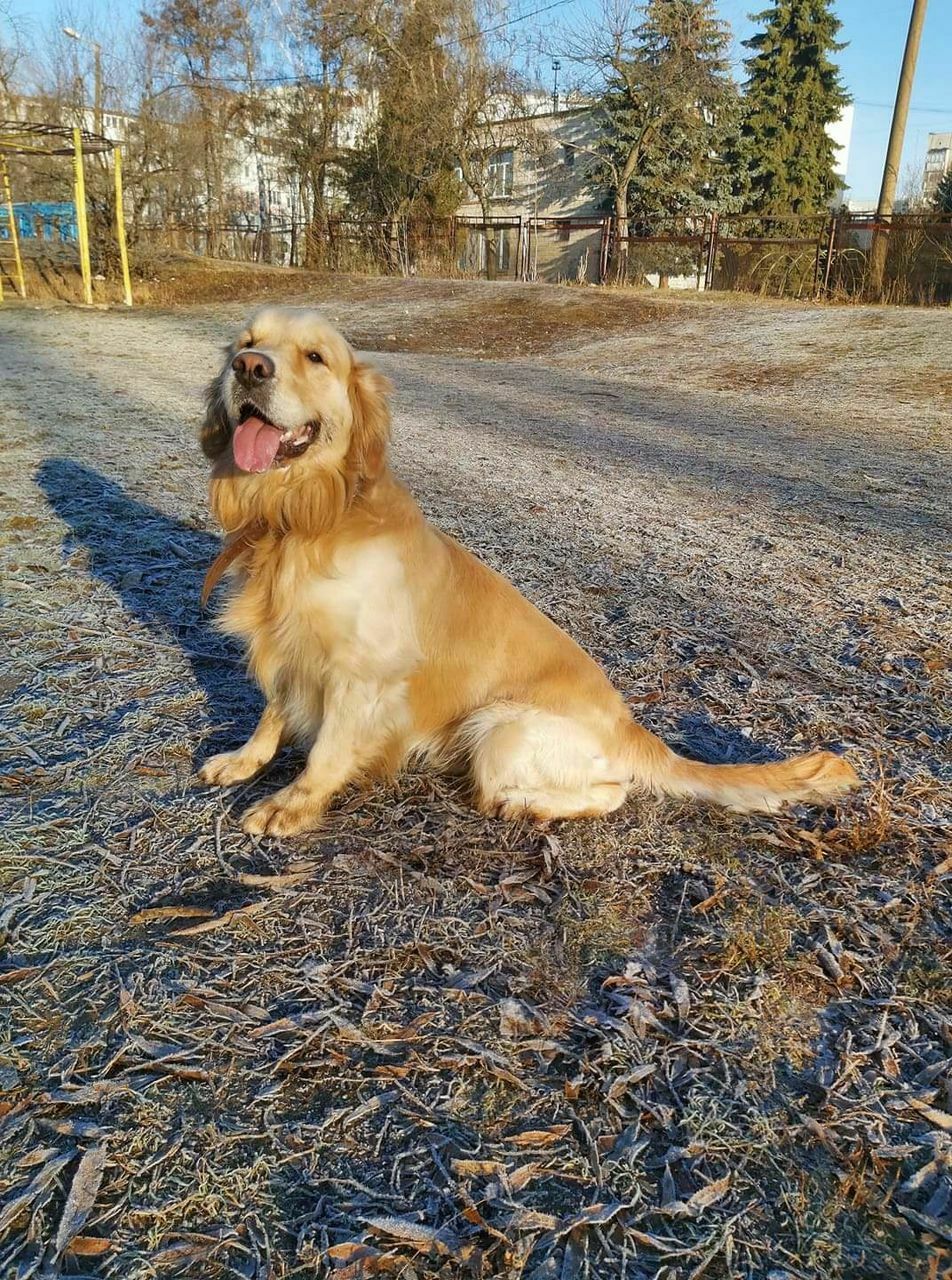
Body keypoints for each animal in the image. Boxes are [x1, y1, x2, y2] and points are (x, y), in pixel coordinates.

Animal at [197, 304, 859, 834]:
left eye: (316, 357)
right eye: (245, 342)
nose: (249, 368)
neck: (299, 520)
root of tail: (632, 728)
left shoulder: (361, 672)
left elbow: (327, 750)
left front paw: (291, 805)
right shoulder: (287, 645)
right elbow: (273, 713)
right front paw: (243, 761)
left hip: (498, 728)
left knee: (613, 791)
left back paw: (525, 804)